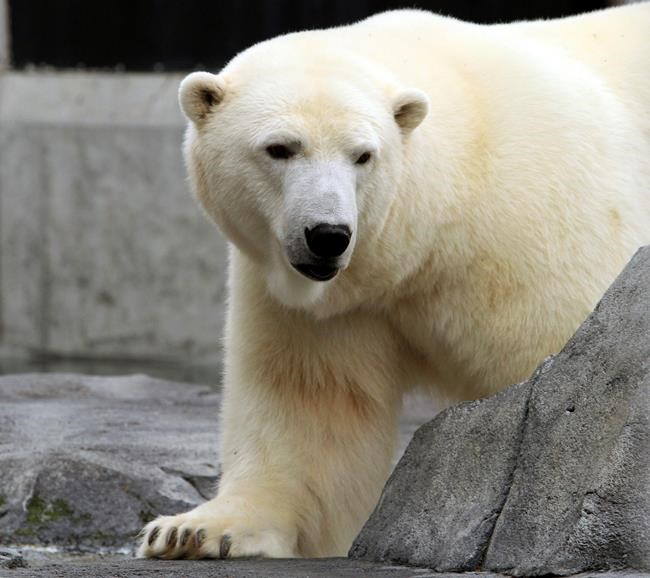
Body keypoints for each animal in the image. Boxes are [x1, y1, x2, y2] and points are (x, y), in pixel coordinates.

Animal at [138, 3, 650, 559]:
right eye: (279, 148)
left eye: (362, 155)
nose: (328, 235)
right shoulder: (332, 304)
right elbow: (309, 404)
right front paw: (193, 530)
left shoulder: (539, 243)